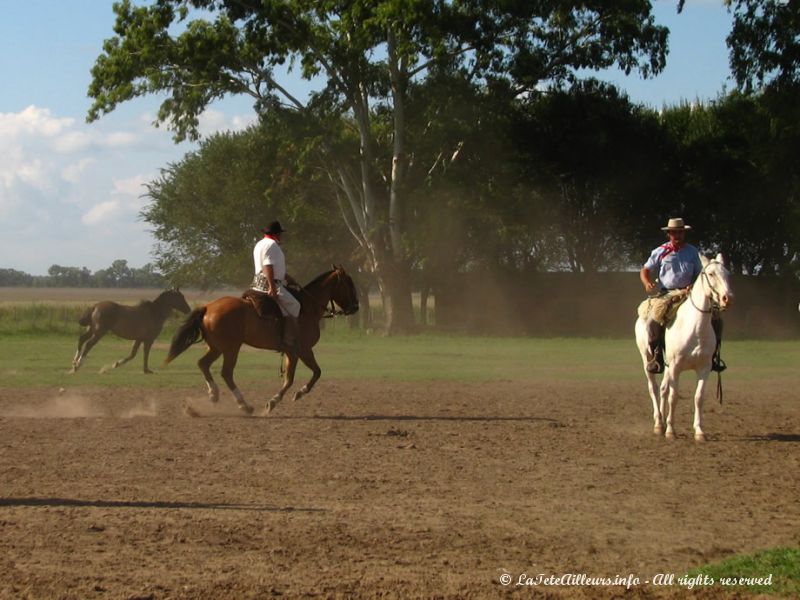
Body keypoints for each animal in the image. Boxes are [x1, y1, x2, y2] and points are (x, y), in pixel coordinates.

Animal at [164, 264, 358, 414]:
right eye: (349, 283)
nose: (356, 307)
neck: (307, 308)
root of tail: (207, 307)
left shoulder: (292, 352)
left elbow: (308, 374)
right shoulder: (301, 351)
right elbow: (300, 377)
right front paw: (282, 399)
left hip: (216, 348)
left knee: (203, 364)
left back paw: (212, 396)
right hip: (231, 348)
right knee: (226, 373)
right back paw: (244, 405)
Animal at [636, 253, 736, 440]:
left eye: (727, 274)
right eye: (711, 274)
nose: (727, 299)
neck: (695, 328)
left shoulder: (704, 368)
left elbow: (698, 397)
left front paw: (699, 431)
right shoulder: (676, 367)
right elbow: (674, 396)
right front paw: (670, 430)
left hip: (667, 365)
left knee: (663, 389)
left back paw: (662, 423)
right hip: (647, 359)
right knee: (653, 388)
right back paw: (659, 423)